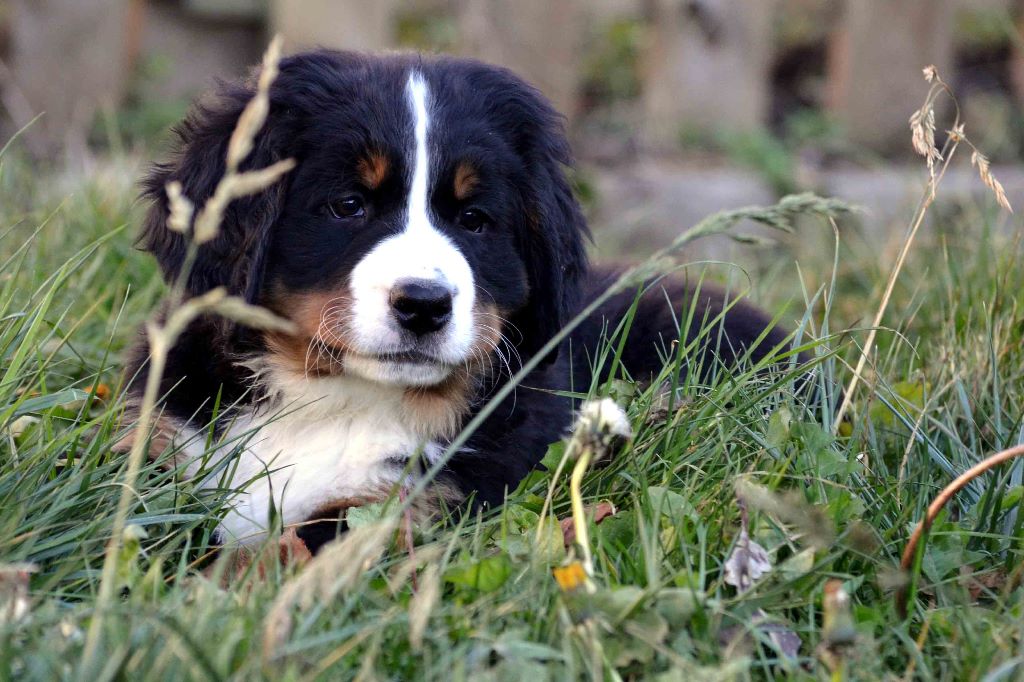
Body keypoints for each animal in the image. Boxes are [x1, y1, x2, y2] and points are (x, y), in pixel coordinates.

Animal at [128, 51, 794, 552]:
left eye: (474, 220)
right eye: (348, 205)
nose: (424, 304)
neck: (333, 399)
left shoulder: (417, 499)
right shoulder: (161, 445)